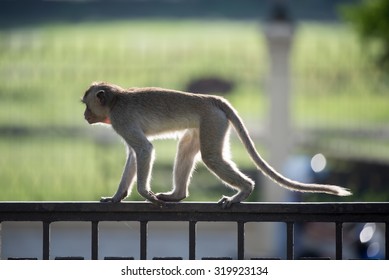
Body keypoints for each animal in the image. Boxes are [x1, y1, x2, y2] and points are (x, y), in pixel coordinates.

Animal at [80, 81, 350, 208]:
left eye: (86, 104)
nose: (84, 115)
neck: (115, 100)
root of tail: (211, 98)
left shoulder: (121, 119)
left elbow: (144, 149)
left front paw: (145, 194)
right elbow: (135, 155)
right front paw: (117, 197)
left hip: (212, 120)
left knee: (210, 157)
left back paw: (243, 192)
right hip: (208, 122)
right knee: (187, 146)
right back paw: (178, 195)